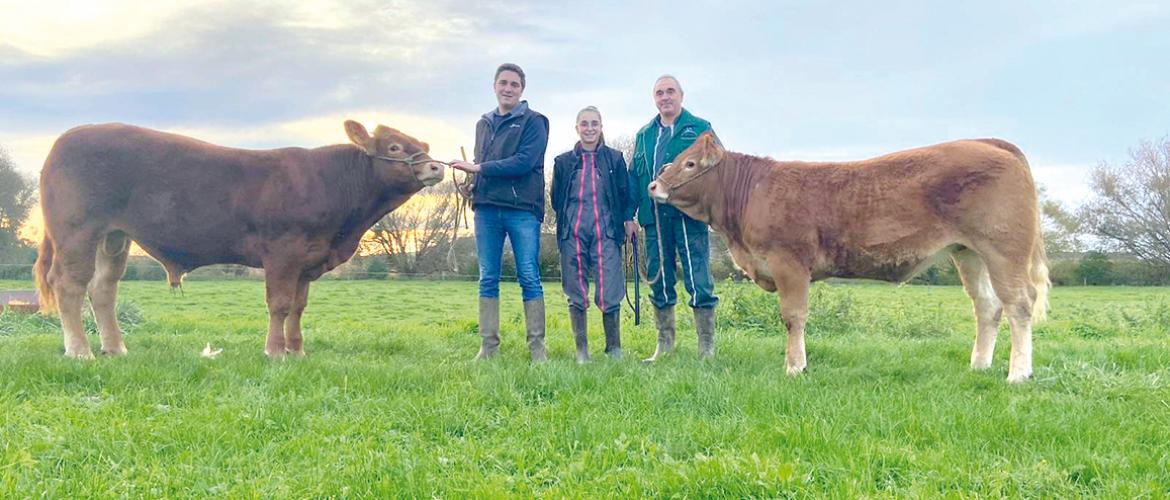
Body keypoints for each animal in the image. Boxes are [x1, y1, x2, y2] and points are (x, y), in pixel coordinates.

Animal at [33, 121, 442, 360]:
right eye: (394, 147)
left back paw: (115, 348)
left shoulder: (308, 261)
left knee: (103, 289)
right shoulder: (283, 253)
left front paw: (297, 350)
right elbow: (279, 304)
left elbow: (298, 306)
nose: (436, 166)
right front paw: (275, 351)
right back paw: (80, 351)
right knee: (69, 285)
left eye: (421, 142)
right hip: (77, 230)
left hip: (114, 237)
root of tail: (64, 139)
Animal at [650, 132, 1053, 384]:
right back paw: (979, 365)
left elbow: (793, 317)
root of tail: (990, 143)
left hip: (1003, 249)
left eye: (689, 164)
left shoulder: (789, 262)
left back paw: (1018, 374)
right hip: (969, 253)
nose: (653, 185)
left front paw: (795, 367)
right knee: (987, 307)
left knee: (1018, 304)